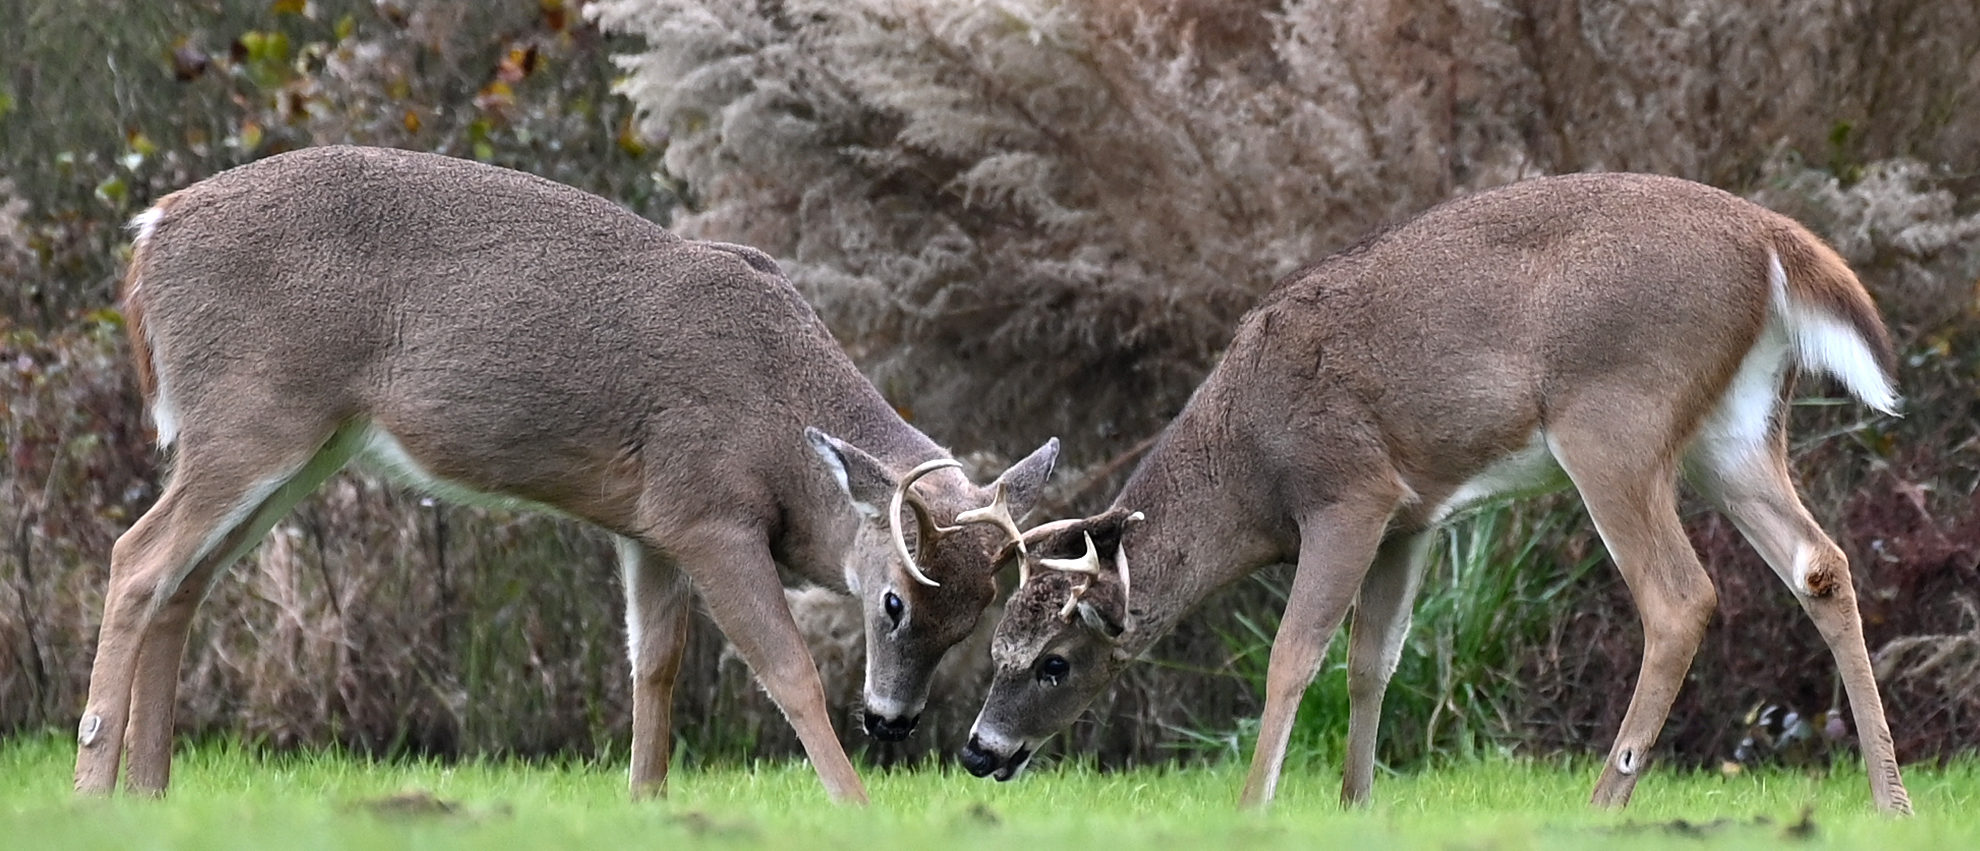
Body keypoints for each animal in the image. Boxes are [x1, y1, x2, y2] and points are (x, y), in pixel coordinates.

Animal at [79, 146, 1061, 803]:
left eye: (975, 616)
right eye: (893, 600)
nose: (893, 720)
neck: (782, 421)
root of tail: (150, 233)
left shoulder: (651, 525)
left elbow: (653, 668)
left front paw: (646, 803)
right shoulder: (708, 509)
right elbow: (787, 669)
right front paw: (853, 806)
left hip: (299, 443)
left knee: (183, 581)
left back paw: (150, 792)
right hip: (252, 415)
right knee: (136, 558)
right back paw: (94, 787)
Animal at [958, 169, 1916, 815]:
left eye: (1053, 661)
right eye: (994, 649)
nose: (977, 749)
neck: (1247, 462)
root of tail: (1772, 240)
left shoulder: (1349, 490)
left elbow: (1293, 653)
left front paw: (1255, 806)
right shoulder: (1411, 516)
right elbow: (1373, 658)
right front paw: (1356, 803)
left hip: (1614, 418)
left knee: (1681, 598)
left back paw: (1603, 803)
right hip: (1735, 432)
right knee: (1821, 564)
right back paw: (1891, 797)